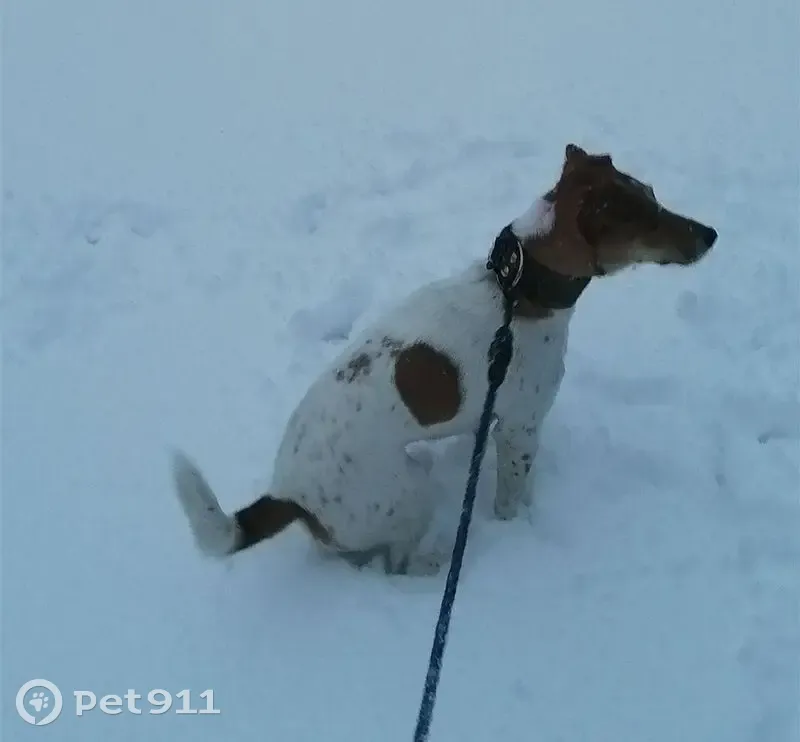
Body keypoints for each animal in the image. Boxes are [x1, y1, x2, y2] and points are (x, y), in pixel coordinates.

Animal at [171, 143, 718, 575]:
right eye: (646, 216)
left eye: (653, 193)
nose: (712, 234)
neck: (518, 288)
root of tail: (288, 494)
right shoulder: (518, 426)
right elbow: (510, 496)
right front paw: (516, 525)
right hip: (408, 491)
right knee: (395, 563)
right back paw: (434, 565)